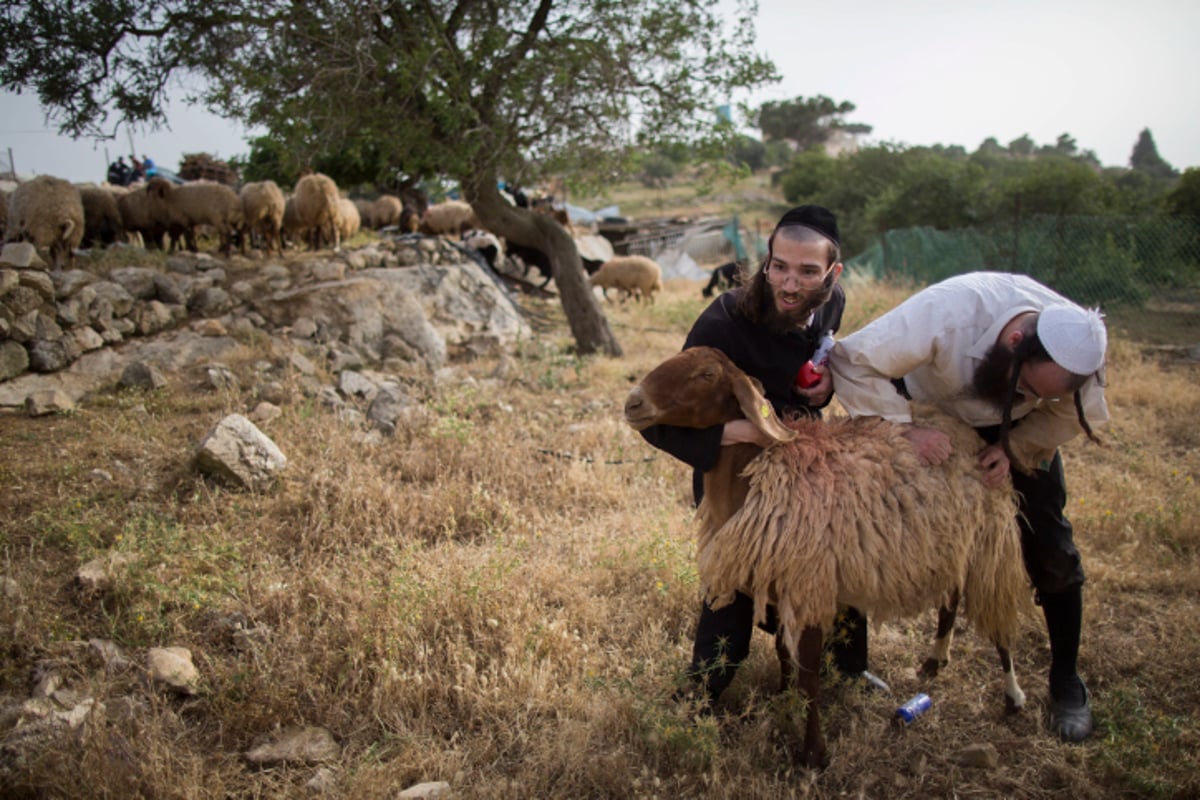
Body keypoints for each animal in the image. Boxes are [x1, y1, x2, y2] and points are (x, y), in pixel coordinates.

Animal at [619, 345, 1032, 767]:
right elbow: (785, 658)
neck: (761, 478)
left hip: (991, 539)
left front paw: (813, 754)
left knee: (997, 616)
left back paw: (1013, 695)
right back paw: (936, 661)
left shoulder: (809, 589)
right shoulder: (778, 589)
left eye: (706, 375)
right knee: (951, 596)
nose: (633, 402)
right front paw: (783, 709)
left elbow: (808, 672)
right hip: (950, 543)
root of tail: (966, 431)